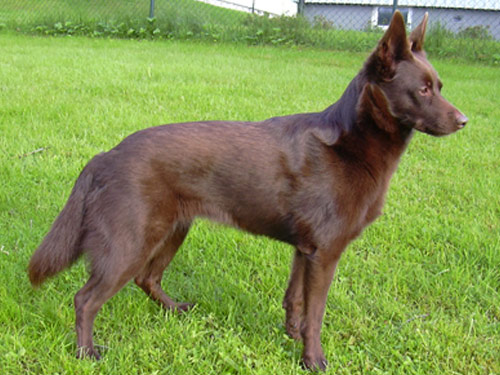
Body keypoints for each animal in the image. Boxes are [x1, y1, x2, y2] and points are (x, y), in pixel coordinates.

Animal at [28, 12, 464, 374]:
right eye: (423, 90)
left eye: (440, 86)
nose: (464, 121)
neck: (350, 144)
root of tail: (106, 155)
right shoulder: (325, 253)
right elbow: (317, 313)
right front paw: (313, 359)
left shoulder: (304, 250)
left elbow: (295, 300)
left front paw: (291, 336)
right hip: (130, 244)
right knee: (86, 299)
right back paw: (86, 353)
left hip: (172, 230)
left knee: (146, 279)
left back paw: (175, 309)